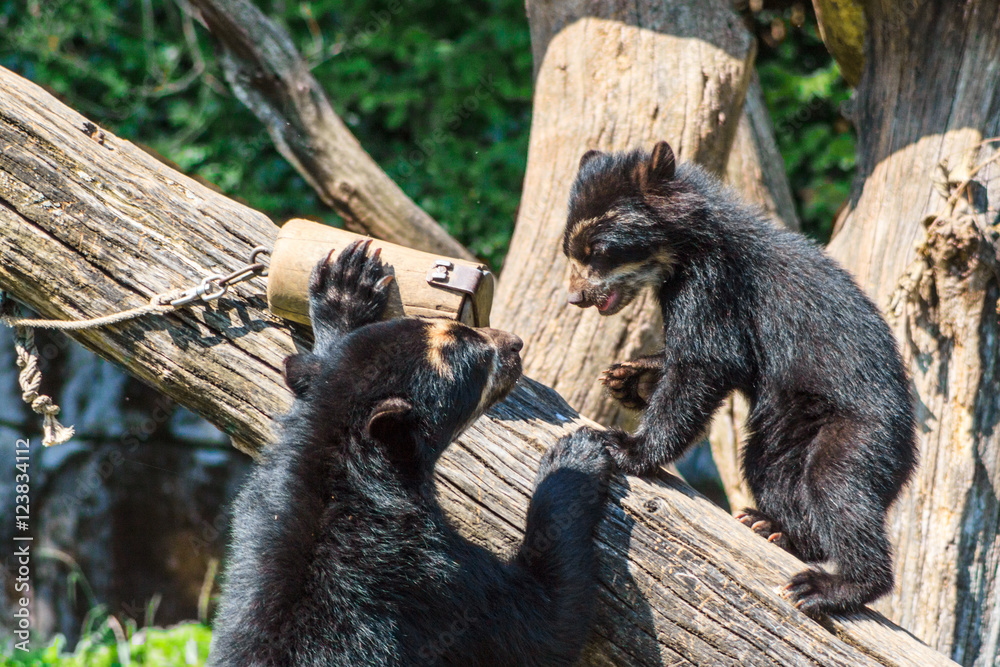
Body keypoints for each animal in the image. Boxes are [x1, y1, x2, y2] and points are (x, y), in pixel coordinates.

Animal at [209, 240, 612, 665]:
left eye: (461, 326)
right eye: (479, 358)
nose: (515, 343)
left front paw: (347, 285)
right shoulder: (428, 577)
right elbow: (543, 624)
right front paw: (576, 457)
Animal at [560, 141, 917, 616]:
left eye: (597, 249)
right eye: (570, 249)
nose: (575, 297)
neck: (682, 249)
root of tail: (909, 451)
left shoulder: (716, 285)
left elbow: (705, 364)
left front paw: (626, 447)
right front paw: (629, 378)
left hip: (859, 431)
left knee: (837, 489)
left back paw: (828, 585)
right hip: (789, 426)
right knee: (771, 470)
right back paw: (771, 526)